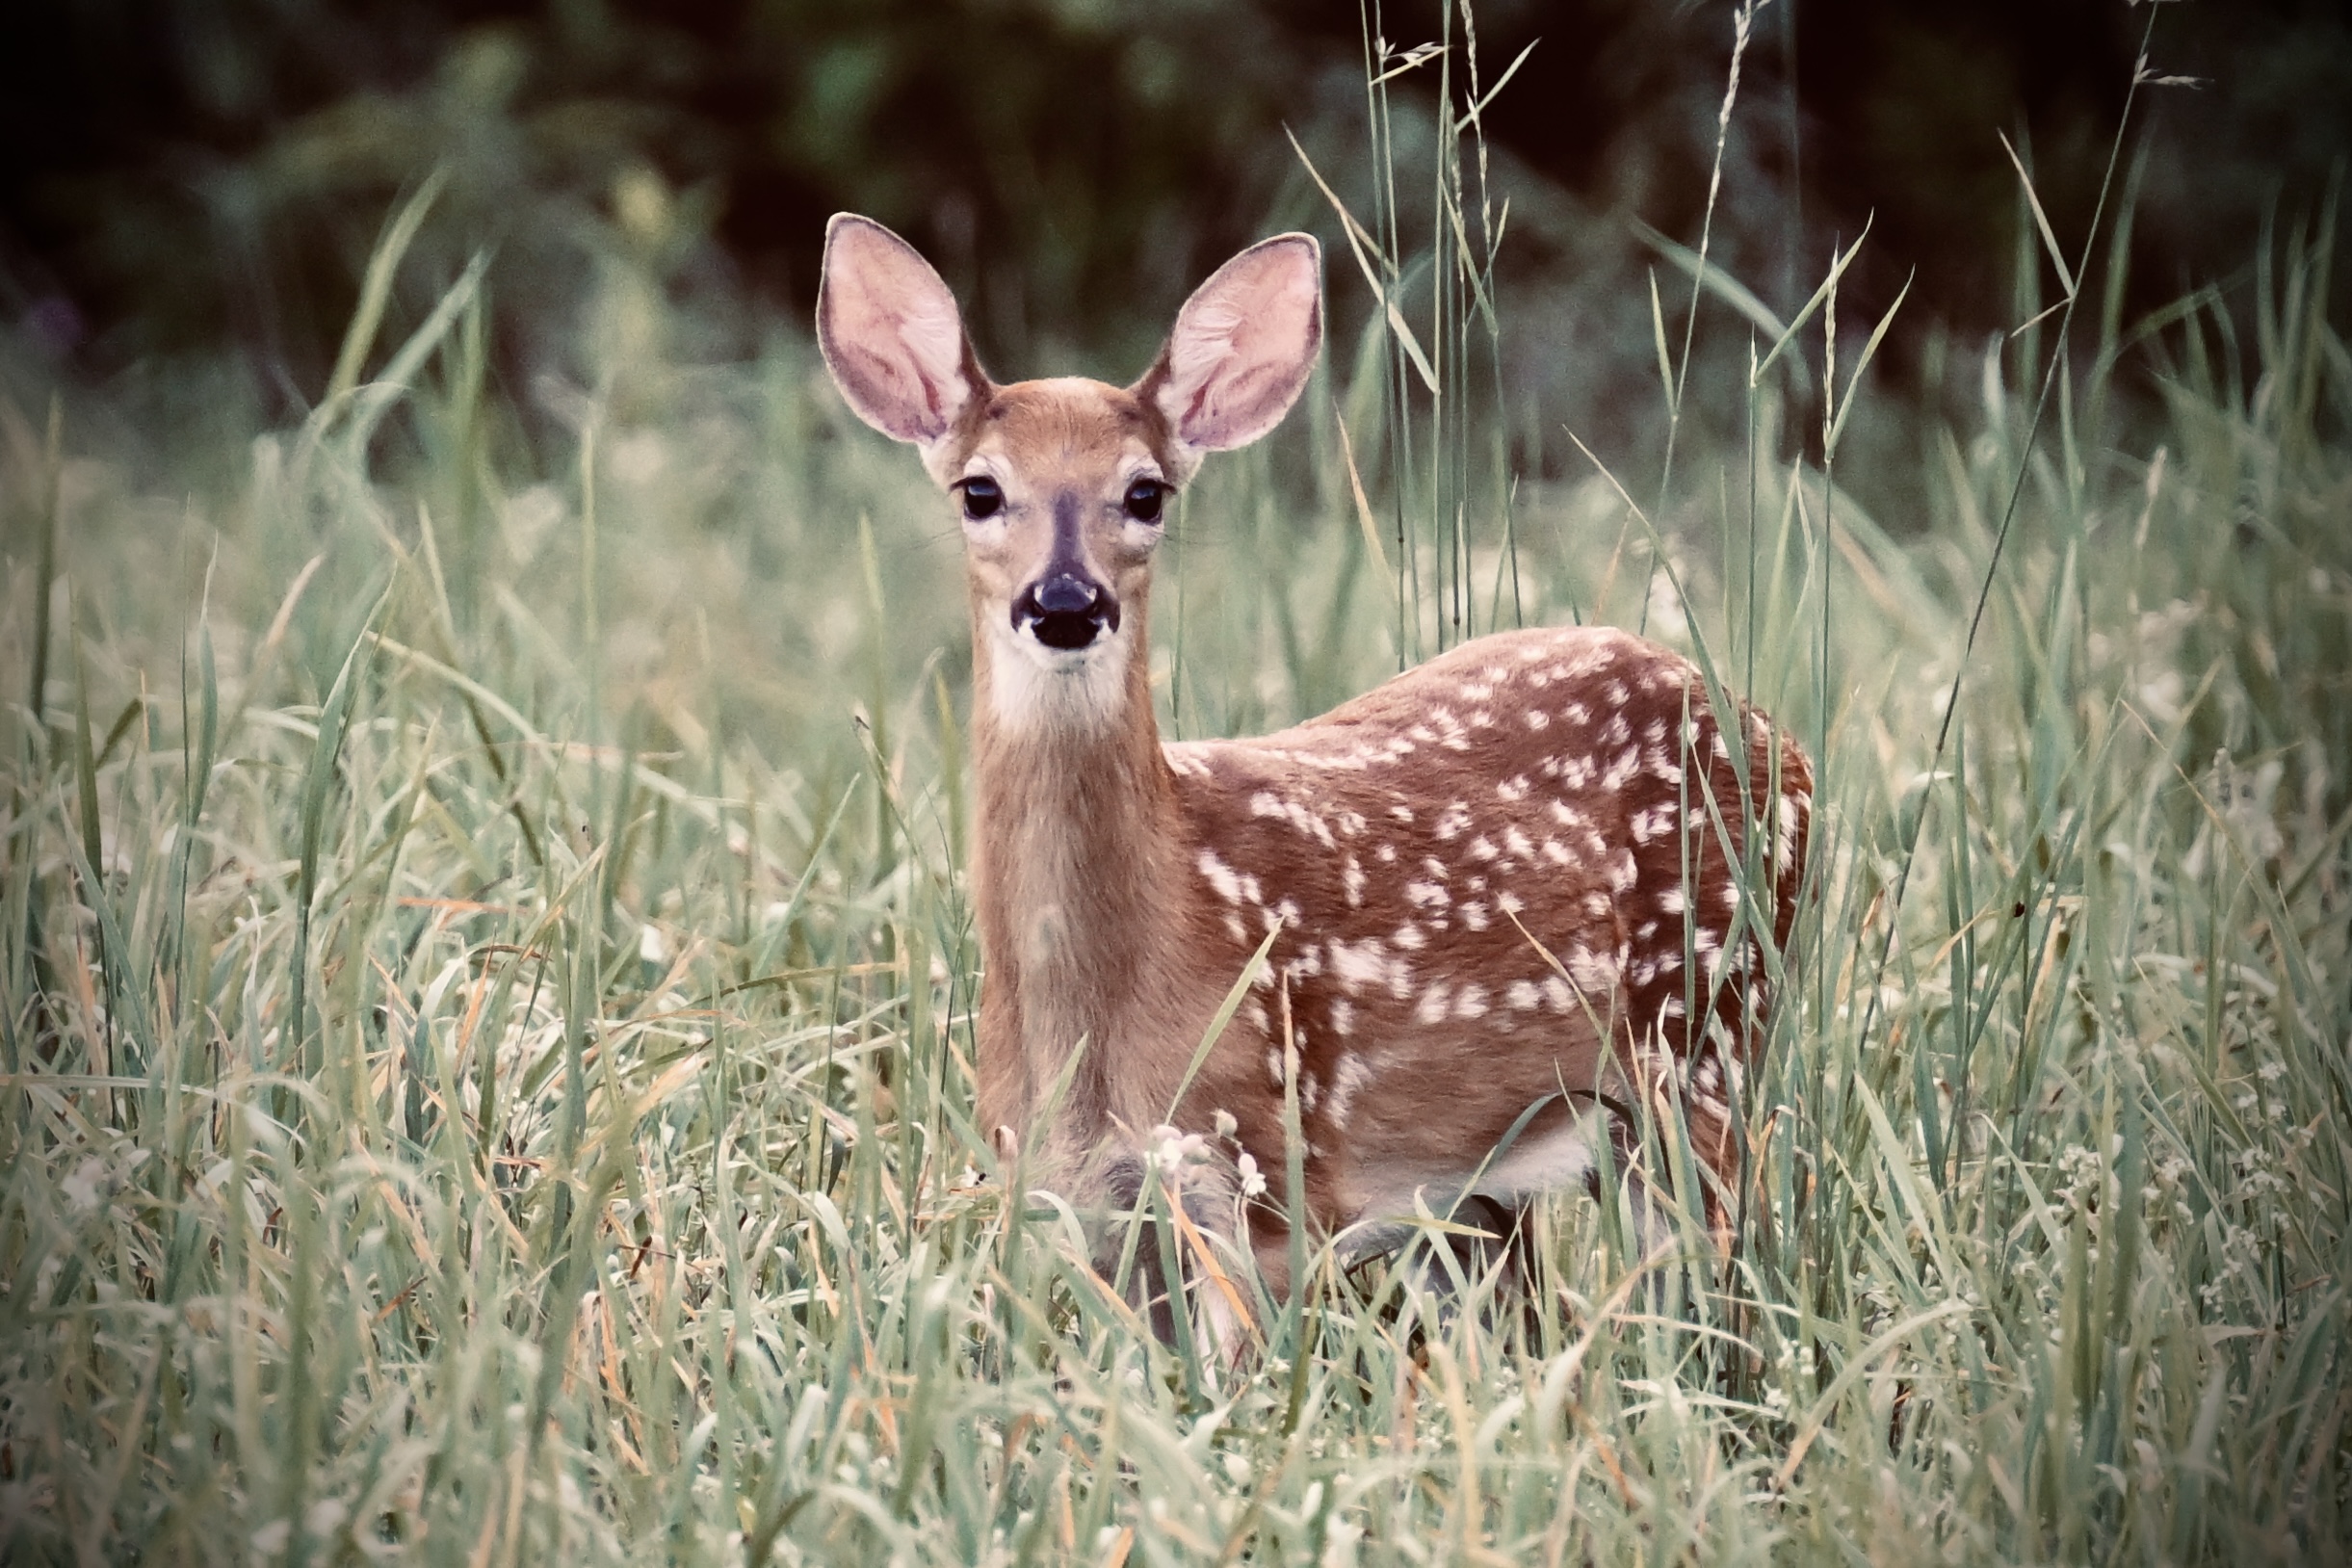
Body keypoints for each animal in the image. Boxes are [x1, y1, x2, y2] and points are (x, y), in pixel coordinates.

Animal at [815, 213, 1811, 1323]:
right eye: (979, 490)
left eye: (1146, 492)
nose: (1065, 602)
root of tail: (1779, 738)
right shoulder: (1076, 1201)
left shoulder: (1266, 1175)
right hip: (1478, 1188)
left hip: (1706, 1042)